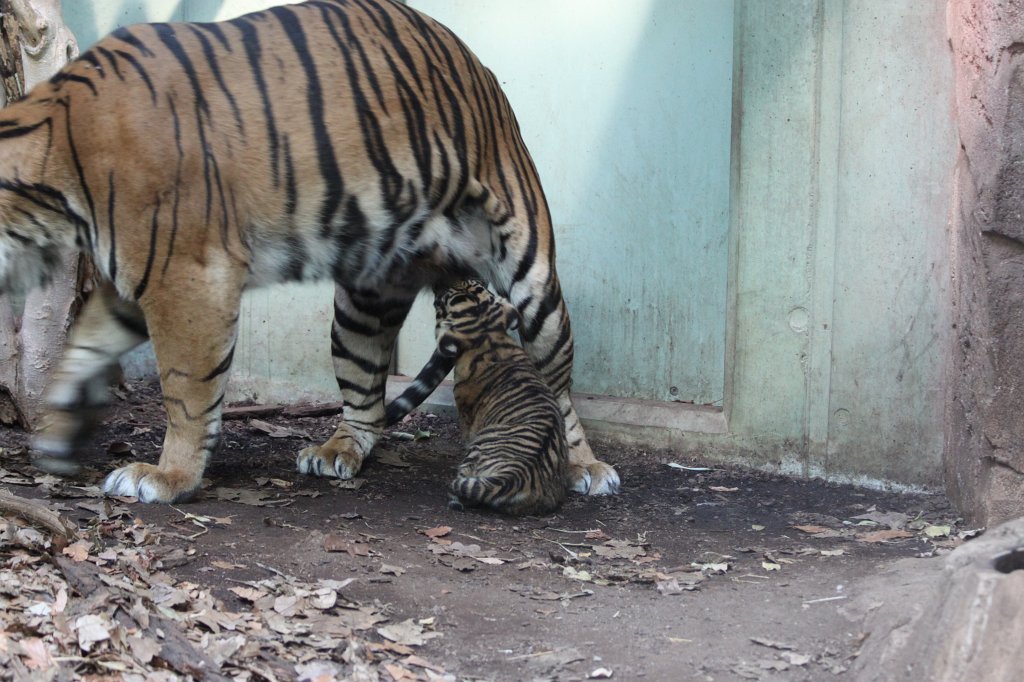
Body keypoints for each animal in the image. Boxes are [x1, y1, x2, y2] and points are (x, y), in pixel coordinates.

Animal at [423, 279, 568, 515]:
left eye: (444, 298)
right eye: (473, 283)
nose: (440, 281)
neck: (488, 335)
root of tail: (513, 477)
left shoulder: (466, 414)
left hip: (477, 451)